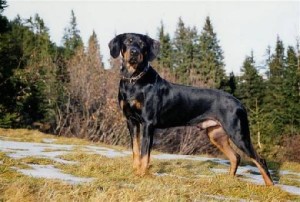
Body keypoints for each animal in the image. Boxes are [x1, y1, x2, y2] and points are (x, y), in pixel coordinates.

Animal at [108, 32, 274, 185]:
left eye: (142, 44)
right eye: (128, 41)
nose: (134, 52)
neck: (134, 80)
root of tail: (239, 103)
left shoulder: (148, 123)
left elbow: (144, 153)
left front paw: (142, 174)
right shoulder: (131, 121)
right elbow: (136, 150)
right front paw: (135, 172)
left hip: (238, 133)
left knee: (260, 160)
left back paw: (270, 186)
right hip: (216, 134)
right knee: (236, 157)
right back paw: (228, 180)